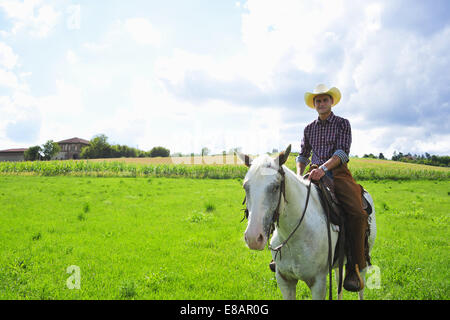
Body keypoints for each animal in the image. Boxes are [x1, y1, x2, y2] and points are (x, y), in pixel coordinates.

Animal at [239, 146, 376, 300]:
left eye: (275, 187)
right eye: (245, 186)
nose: (253, 238)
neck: (295, 235)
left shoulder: (318, 283)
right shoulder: (284, 280)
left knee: (360, 286)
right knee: (338, 282)